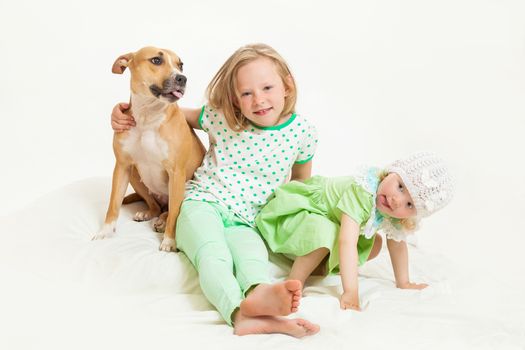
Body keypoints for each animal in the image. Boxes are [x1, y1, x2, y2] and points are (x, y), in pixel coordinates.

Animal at [92, 46, 205, 252]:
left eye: (180, 65)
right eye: (156, 60)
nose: (182, 78)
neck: (148, 115)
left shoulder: (176, 172)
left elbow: (175, 214)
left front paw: (169, 241)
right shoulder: (122, 166)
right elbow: (113, 204)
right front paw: (105, 232)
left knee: (170, 209)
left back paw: (162, 221)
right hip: (135, 176)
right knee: (156, 206)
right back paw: (150, 213)